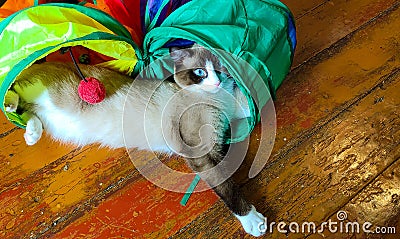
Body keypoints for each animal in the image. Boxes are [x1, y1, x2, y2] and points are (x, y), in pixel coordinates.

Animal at [3, 45, 266, 236]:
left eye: (221, 70)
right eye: (200, 73)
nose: (217, 82)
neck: (218, 100)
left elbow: (245, 103)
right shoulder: (198, 151)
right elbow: (226, 185)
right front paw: (252, 219)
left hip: (51, 120)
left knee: (29, 112)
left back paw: (31, 133)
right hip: (42, 90)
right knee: (15, 87)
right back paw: (10, 102)